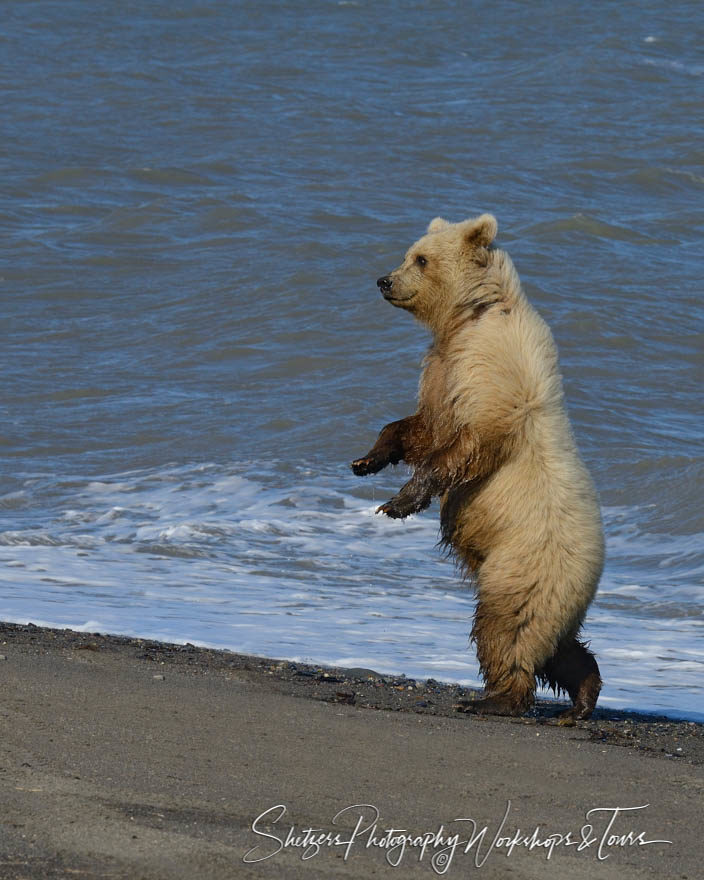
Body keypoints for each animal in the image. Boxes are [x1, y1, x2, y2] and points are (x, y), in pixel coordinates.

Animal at [352, 217, 604, 720]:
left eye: (420, 259)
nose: (384, 280)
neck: (468, 316)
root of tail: (598, 568)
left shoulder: (494, 375)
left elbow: (468, 445)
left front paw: (399, 502)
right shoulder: (445, 370)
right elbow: (422, 427)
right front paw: (367, 460)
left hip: (524, 563)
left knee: (508, 627)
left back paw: (495, 699)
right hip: (552, 592)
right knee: (559, 647)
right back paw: (582, 699)